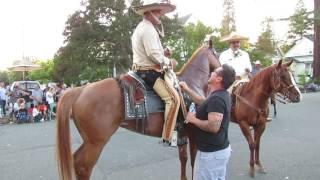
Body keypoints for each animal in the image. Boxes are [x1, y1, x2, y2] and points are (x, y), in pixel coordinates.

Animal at [56, 44, 220, 179]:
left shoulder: (182, 134)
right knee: (83, 166)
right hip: (95, 143)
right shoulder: (194, 135)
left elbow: (183, 159)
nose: (221, 67)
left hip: (89, 141)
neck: (192, 85)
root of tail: (81, 90)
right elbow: (193, 162)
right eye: (217, 54)